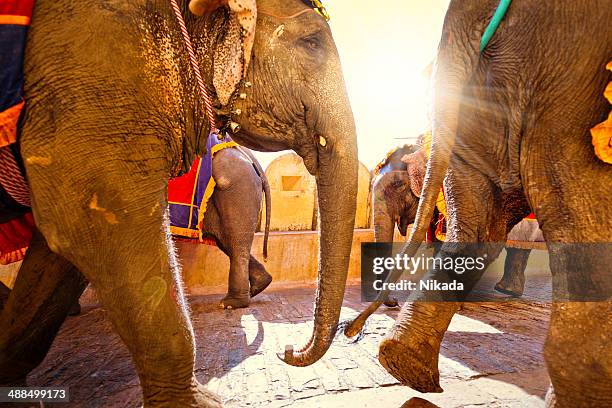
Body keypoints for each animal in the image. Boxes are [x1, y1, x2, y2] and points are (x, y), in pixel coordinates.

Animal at [0, 1, 358, 406]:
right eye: (312, 43)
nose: (288, 351)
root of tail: (252, 163)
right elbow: (74, 236)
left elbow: (84, 227)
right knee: (230, 241)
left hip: (237, 191)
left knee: (232, 242)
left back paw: (232, 304)